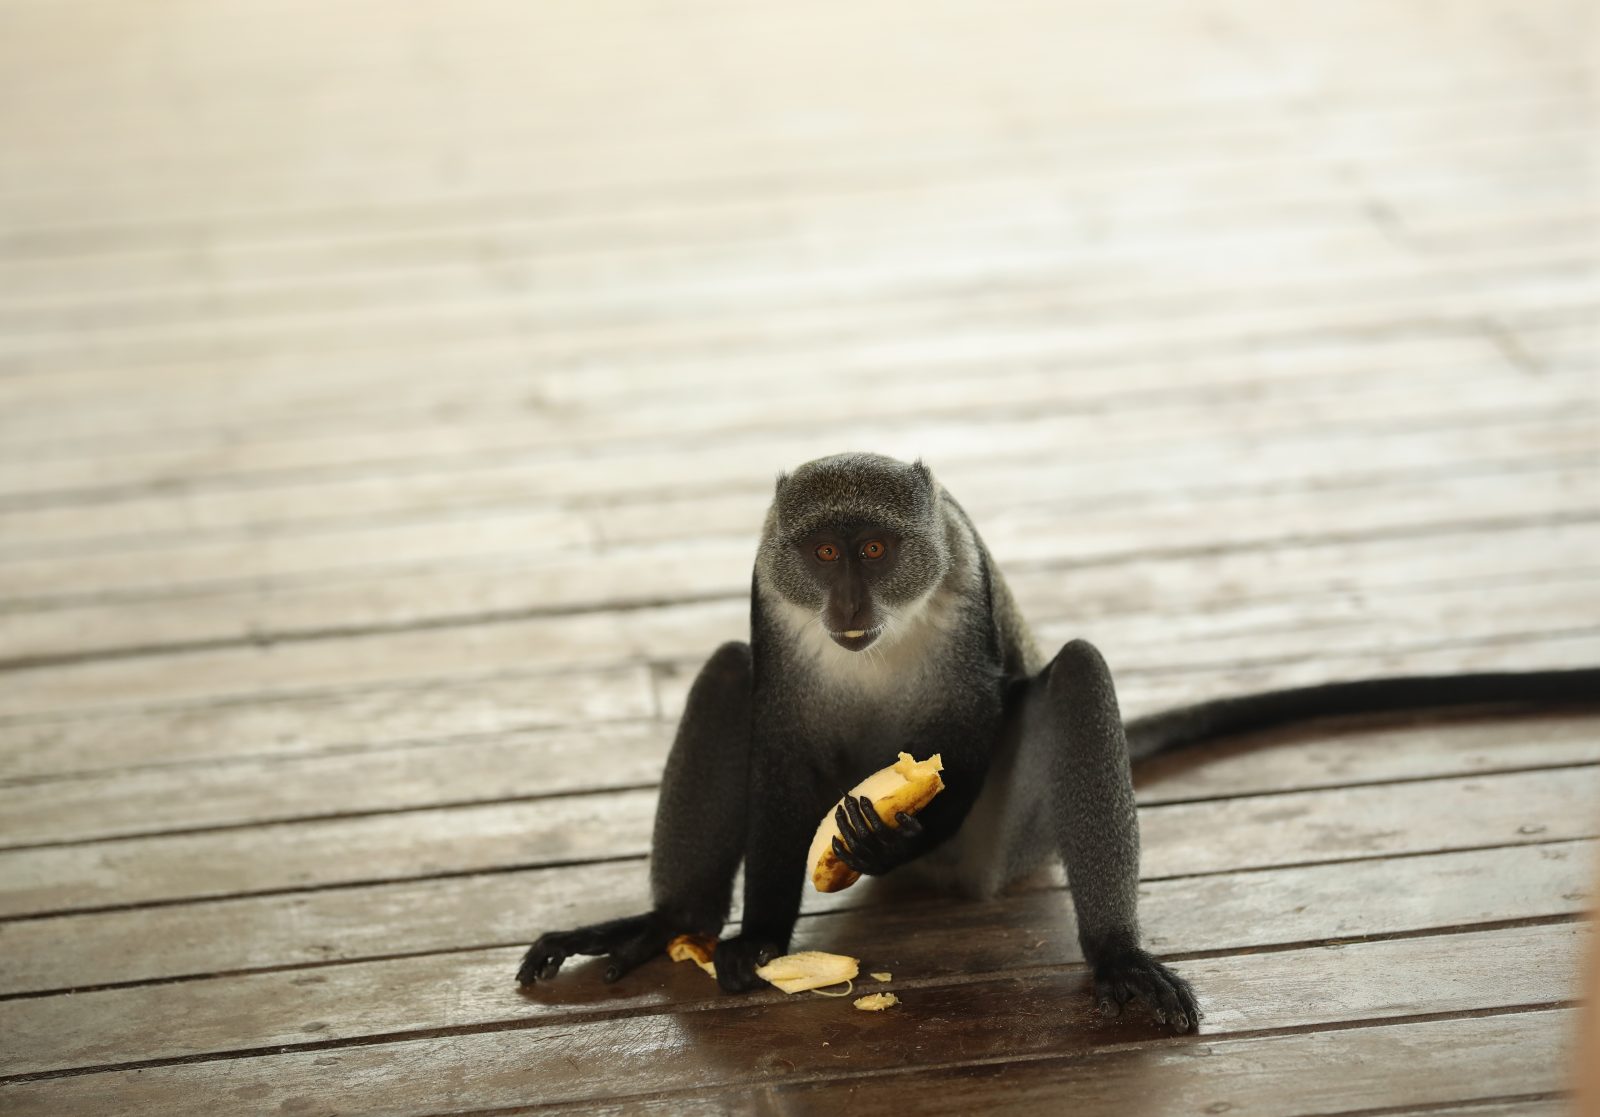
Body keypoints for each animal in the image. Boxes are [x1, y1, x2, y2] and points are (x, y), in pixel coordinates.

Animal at [516, 451, 1599, 1033]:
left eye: (877, 547)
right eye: (822, 550)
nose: (848, 605)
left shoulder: (962, 589)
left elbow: (972, 721)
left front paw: (886, 835)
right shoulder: (770, 595)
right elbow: (774, 737)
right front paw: (759, 939)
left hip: (1004, 844)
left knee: (1074, 673)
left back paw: (1112, 950)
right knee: (726, 671)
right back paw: (668, 919)